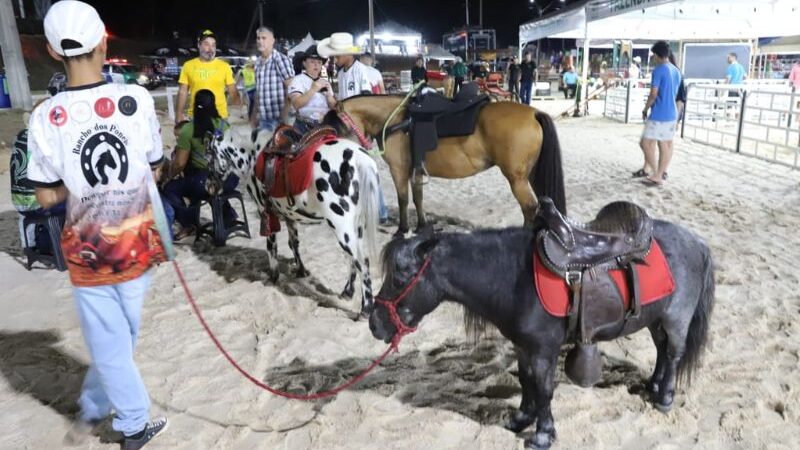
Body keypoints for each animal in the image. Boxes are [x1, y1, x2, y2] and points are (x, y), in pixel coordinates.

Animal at [206, 128, 382, 314]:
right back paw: (347, 293)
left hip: (341, 227)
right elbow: (294, 244)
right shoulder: (289, 217)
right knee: (353, 259)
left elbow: (272, 247)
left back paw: (366, 309)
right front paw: (301, 271)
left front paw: (273, 277)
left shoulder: (266, 214)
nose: (208, 186)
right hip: (355, 227)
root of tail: (360, 159)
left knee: (361, 261)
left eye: (208, 157)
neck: (254, 154)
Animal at [322, 95, 564, 236]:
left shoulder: (398, 170)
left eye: (335, 123)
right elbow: (418, 198)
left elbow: (403, 200)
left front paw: (402, 230)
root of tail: (534, 112)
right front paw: (422, 226)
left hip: (517, 179)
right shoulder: (416, 171)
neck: (397, 120)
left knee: (529, 207)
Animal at [368, 221, 712, 450]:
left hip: (676, 319)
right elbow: (526, 381)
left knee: (673, 354)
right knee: (661, 352)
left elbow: (545, 389)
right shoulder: (524, 347)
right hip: (656, 319)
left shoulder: (544, 350)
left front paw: (543, 433)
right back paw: (653, 385)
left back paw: (665, 396)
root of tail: (696, 240)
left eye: (401, 275)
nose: (374, 324)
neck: (514, 278)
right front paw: (522, 418)